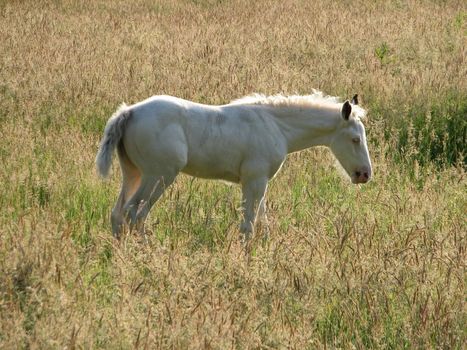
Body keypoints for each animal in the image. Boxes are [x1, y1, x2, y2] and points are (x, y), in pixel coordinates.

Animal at [95, 89, 372, 241]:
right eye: (355, 139)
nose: (365, 174)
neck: (276, 126)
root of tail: (129, 112)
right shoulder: (254, 180)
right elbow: (248, 225)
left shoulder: (258, 183)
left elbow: (261, 223)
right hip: (159, 176)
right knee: (135, 214)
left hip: (133, 173)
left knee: (117, 214)